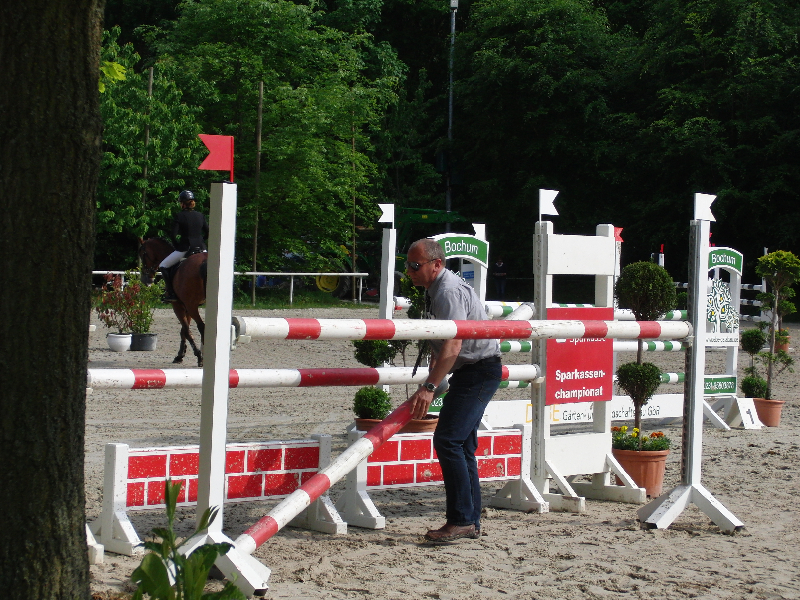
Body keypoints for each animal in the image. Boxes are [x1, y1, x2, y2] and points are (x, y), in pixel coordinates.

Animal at [138, 238, 208, 367]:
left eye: (143, 254)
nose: (146, 280)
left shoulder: (178, 305)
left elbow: (187, 331)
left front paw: (197, 355)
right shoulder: (186, 307)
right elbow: (183, 331)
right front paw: (180, 355)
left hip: (191, 306)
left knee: (202, 327)